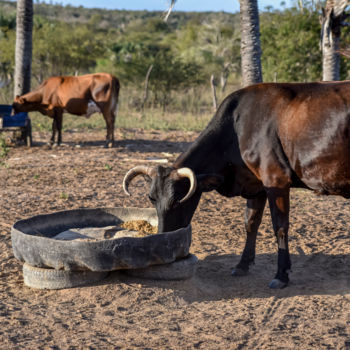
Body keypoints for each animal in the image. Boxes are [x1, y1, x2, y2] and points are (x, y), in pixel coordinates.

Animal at [123, 81, 350, 290]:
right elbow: (250, 223)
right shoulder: (257, 186)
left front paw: (281, 275)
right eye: (152, 198)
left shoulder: (276, 181)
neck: (238, 128)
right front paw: (242, 264)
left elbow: (280, 227)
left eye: (178, 200)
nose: (164, 236)